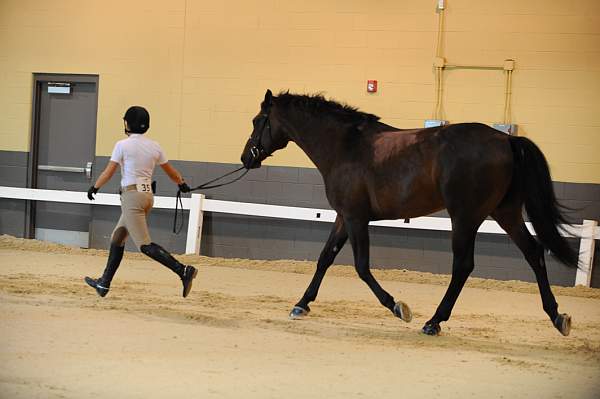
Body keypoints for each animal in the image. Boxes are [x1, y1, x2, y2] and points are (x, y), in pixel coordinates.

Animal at [239, 89, 576, 336]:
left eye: (257, 121)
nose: (246, 158)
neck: (345, 147)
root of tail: (506, 138)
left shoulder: (356, 219)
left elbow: (362, 267)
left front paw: (398, 307)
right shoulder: (343, 217)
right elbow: (325, 258)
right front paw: (302, 304)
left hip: (465, 218)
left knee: (463, 265)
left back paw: (434, 322)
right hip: (505, 213)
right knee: (534, 253)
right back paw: (557, 316)